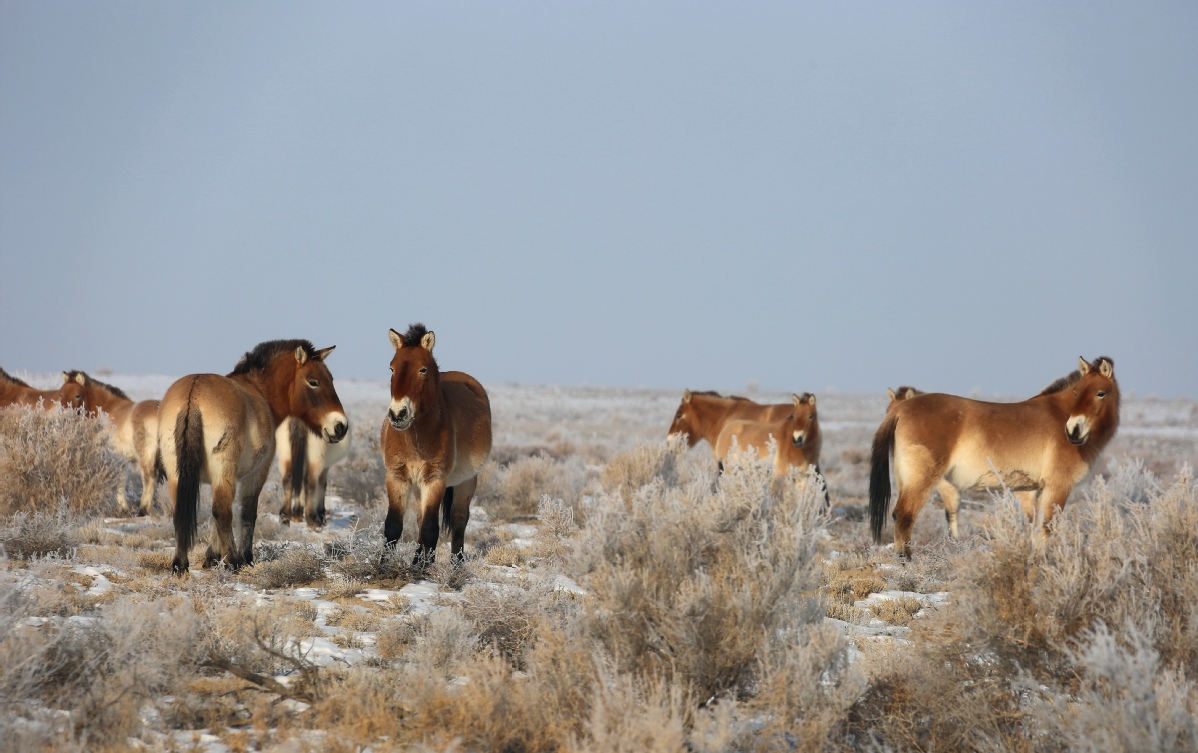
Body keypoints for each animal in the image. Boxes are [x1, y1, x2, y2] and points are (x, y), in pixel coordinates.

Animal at [68, 371, 164, 517]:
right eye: (60, 393)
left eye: (77, 395)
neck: (109, 409)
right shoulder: (122, 459)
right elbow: (122, 479)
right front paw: (123, 508)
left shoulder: (114, 458)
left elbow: (119, 480)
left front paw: (122, 508)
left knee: (149, 478)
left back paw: (143, 510)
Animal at [160, 337, 347, 572]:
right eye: (313, 382)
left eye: (330, 379)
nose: (340, 426)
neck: (260, 391)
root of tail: (193, 395)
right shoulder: (256, 474)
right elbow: (247, 514)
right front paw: (245, 557)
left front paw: (211, 557)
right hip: (224, 468)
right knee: (222, 511)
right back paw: (233, 560)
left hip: (177, 473)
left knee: (183, 512)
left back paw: (180, 564)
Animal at [385, 323, 493, 565]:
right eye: (392, 368)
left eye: (423, 370)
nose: (398, 414)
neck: (416, 438)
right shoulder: (397, 476)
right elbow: (393, 527)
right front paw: (382, 567)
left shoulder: (435, 479)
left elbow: (430, 530)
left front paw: (424, 571)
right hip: (419, 486)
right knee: (420, 518)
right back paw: (418, 560)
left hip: (466, 482)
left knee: (459, 520)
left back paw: (456, 565)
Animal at [872, 354, 1121, 555]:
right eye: (1077, 392)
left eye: (1100, 393)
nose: (1073, 431)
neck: (1059, 414)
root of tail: (900, 410)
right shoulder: (1057, 487)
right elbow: (1046, 528)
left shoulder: (1033, 491)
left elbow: (1034, 527)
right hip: (921, 481)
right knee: (904, 516)